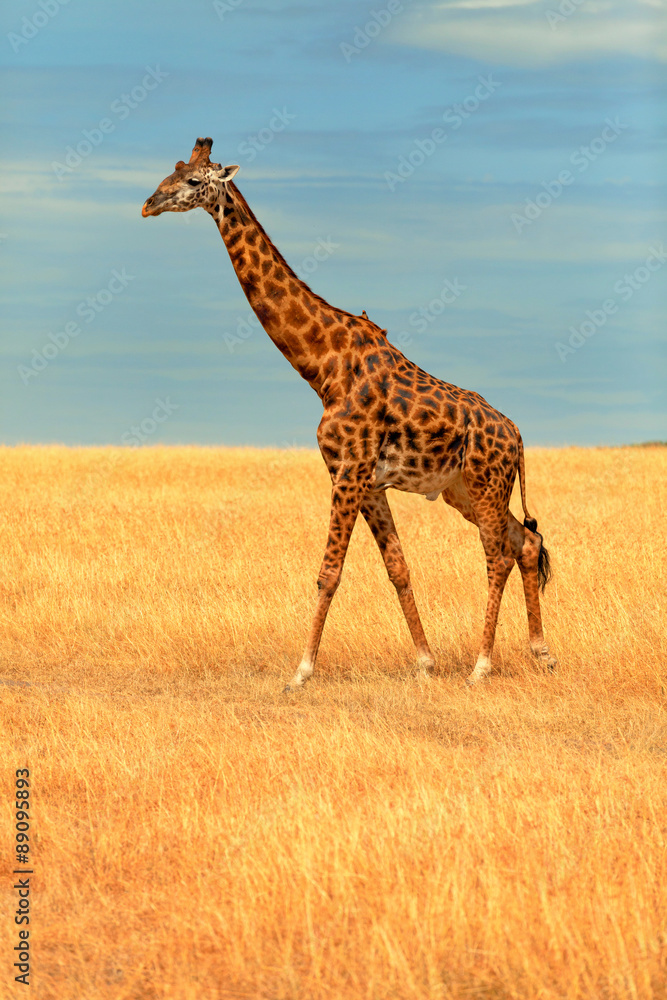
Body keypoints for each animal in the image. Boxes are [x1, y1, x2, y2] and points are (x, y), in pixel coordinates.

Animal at [142, 137, 556, 688]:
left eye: (192, 180)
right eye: (171, 169)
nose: (148, 204)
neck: (322, 367)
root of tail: (518, 436)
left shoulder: (349, 472)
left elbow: (329, 572)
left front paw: (300, 671)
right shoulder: (366, 480)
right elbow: (397, 567)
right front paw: (425, 662)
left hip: (487, 482)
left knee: (497, 555)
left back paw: (482, 665)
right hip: (462, 490)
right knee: (525, 542)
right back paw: (541, 653)